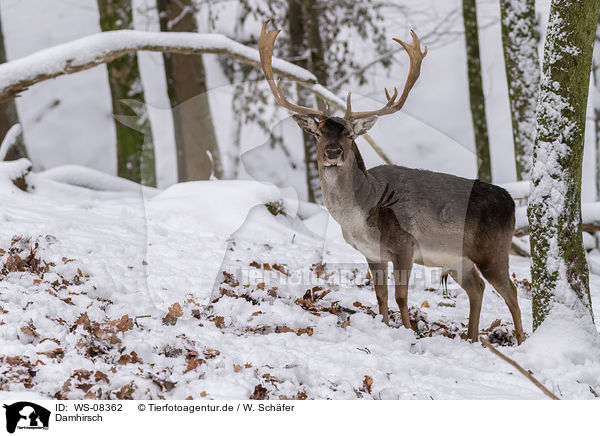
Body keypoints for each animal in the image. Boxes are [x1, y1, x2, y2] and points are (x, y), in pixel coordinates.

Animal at [258, 19, 524, 344]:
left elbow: (400, 296)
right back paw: (472, 338)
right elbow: (381, 296)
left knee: (511, 292)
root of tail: (511, 202)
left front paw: (408, 334)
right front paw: (385, 327)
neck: (362, 214)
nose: (333, 152)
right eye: (319, 133)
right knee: (477, 287)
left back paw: (522, 341)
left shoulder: (404, 244)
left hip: (493, 250)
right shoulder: (372, 253)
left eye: (349, 134)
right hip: (456, 258)